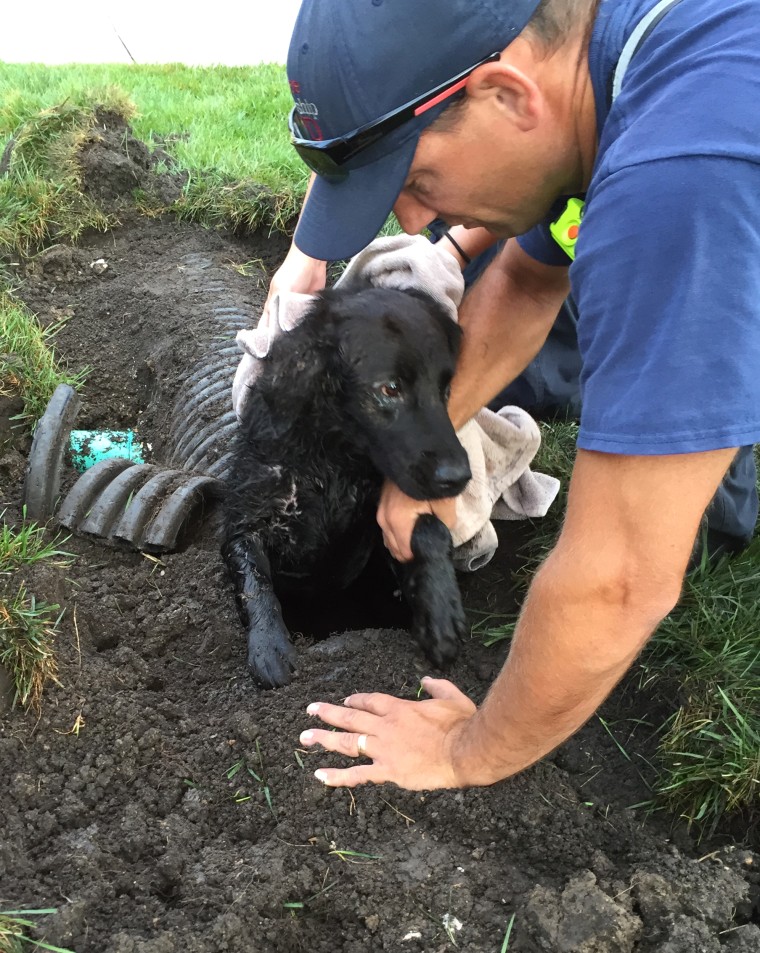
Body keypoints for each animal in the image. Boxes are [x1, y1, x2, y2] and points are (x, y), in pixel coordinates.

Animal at [220, 282, 472, 684]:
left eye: (445, 388)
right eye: (390, 389)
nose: (459, 477)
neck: (332, 462)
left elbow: (430, 528)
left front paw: (441, 611)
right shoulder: (245, 520)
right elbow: (253, 580)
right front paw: (269, 646)